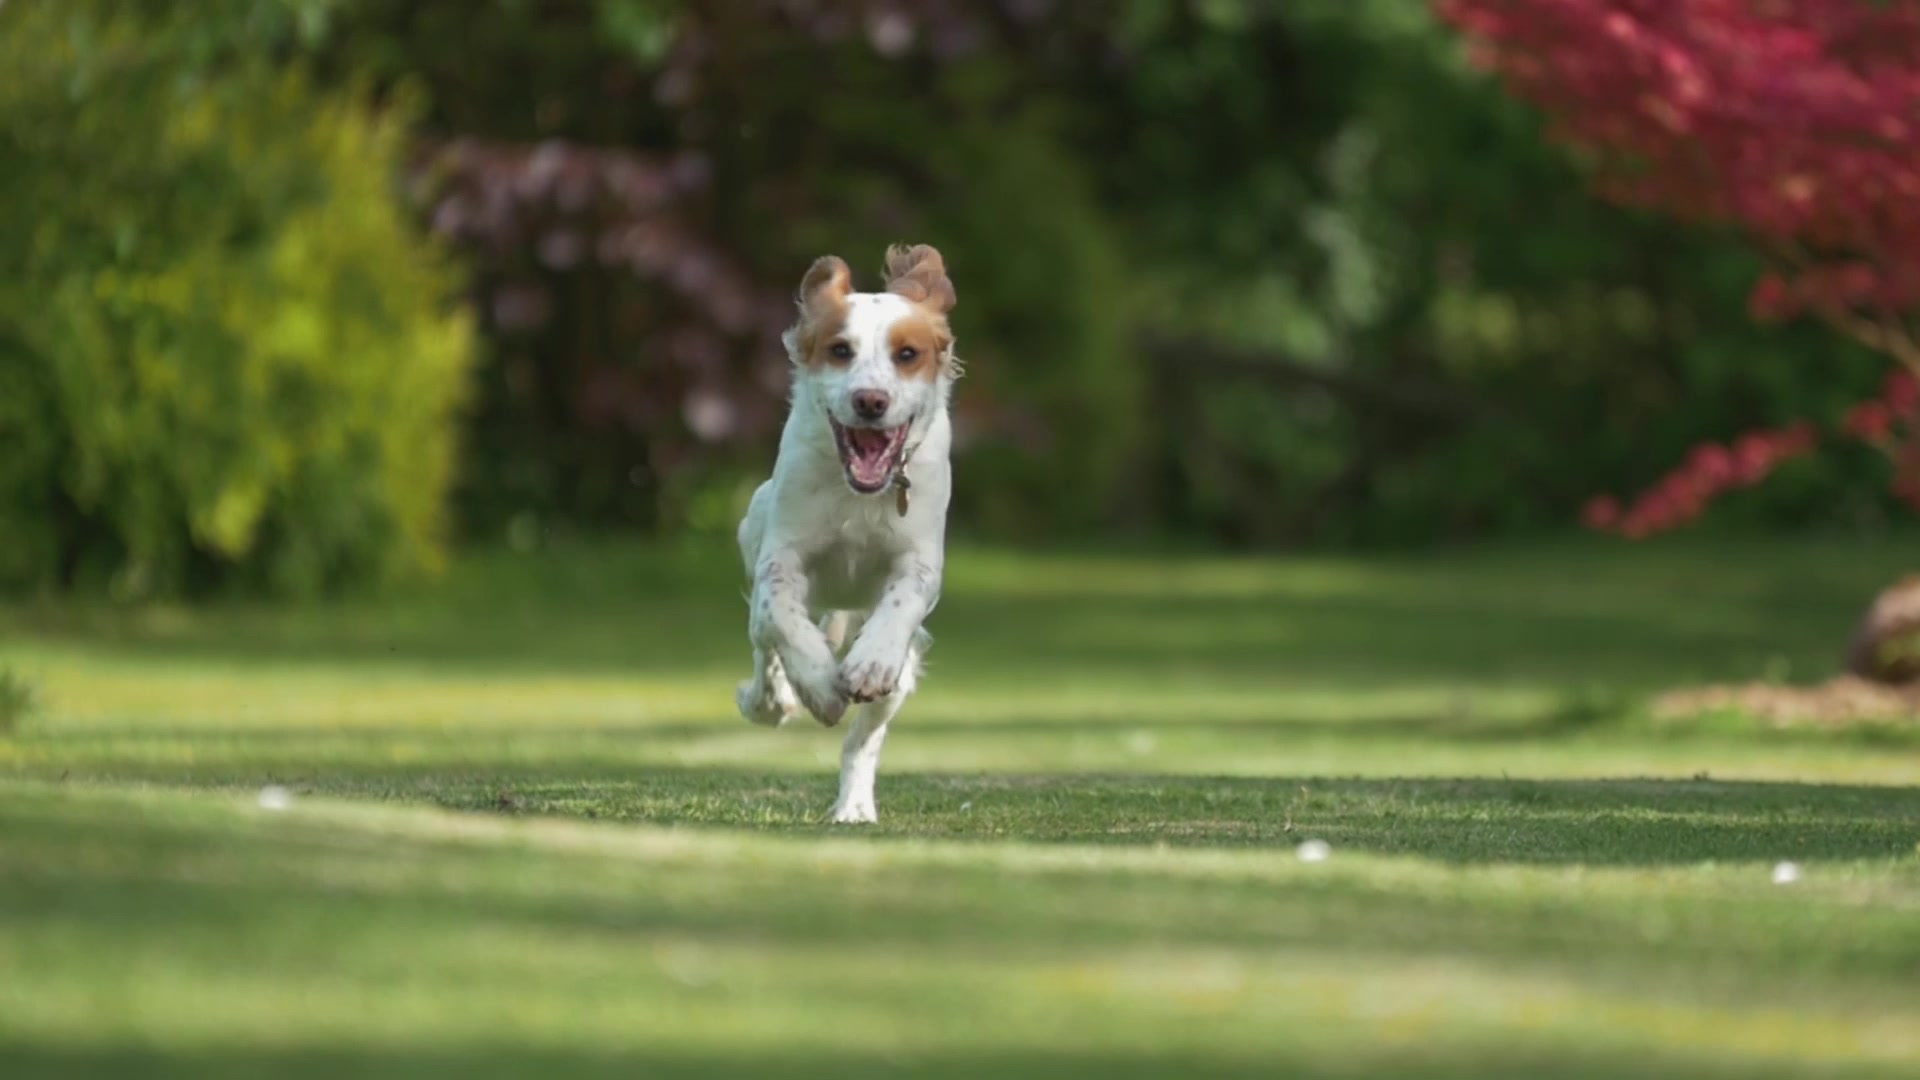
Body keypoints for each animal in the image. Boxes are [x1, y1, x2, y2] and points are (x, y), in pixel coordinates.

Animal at [733, 242, 960, 814]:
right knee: (763, 644)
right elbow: (781, 614)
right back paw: (769, 699)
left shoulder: (920, 557)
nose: (870, 401)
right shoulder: (781, 555)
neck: (859, 495)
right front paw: (817, 684)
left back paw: (853, 808)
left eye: (908, 354)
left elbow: (904, 598)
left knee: (863, 741)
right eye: (840, 350)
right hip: (755, 519)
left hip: (903, 674)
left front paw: (869, 663)